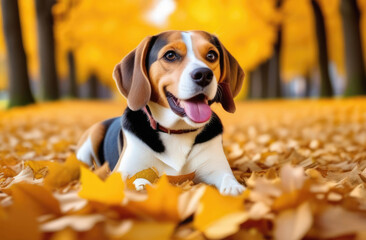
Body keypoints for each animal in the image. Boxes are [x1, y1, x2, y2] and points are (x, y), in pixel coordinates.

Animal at [78, 30, 246, 195]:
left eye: (212, 55)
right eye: (170, 55)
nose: (204, 75)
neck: (177, 131)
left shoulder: (216, 168)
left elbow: (227, 178)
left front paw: (234, 188)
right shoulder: (123, 171)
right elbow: (137, 180)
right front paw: (143, 185)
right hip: (90, 140)